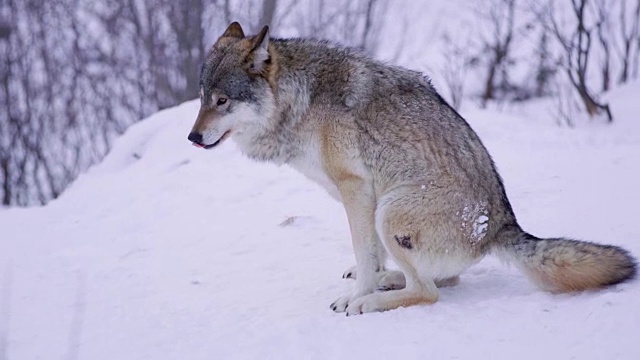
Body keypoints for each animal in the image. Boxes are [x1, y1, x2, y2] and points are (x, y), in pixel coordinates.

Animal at [188, 21, 636, 316]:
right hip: (387, 209)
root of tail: (501, 226)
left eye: (223, 101)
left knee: (430, 291)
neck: (302, 101)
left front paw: (357, 296)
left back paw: (372, 301)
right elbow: (368, 255)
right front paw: (370, 276)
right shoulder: (356, 195)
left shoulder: (356, 189)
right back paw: (389, 281)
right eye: (203, 96)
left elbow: (365, 252)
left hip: (392, 212)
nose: (192, 137)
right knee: (442, 279)